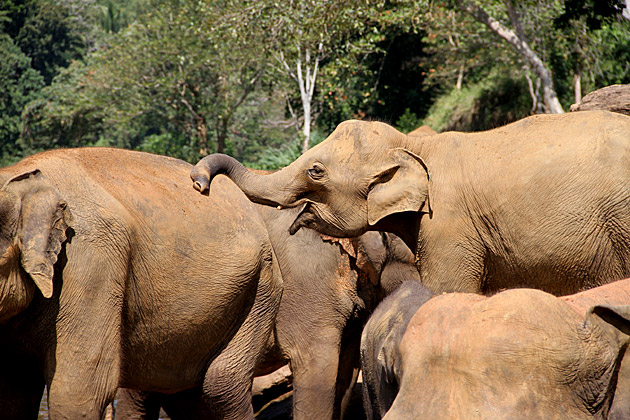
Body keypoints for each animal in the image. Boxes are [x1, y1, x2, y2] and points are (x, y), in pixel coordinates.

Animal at [0, 148, 282, 420]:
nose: (199, 185)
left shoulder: (89, 263)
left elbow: (78, 391)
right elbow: (13, 395)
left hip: (260, 288)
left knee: (220, 385)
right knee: (188, 395)